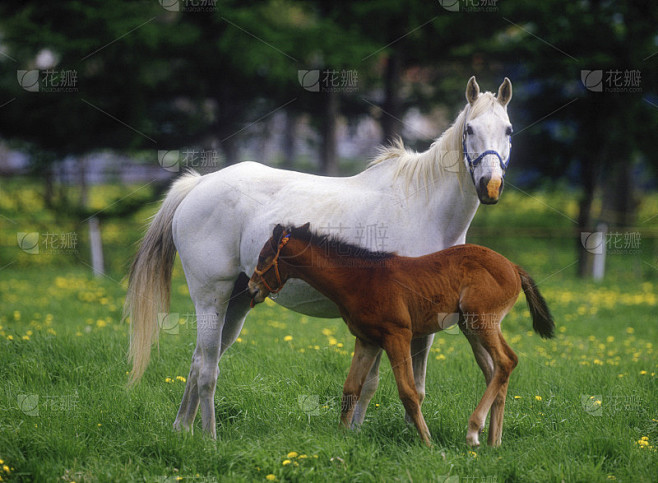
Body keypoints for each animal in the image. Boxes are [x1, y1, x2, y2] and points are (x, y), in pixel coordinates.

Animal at [124, 76, 514, 438]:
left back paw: (182, 428)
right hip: (211, 298)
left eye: (508, 130)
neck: (423, 208)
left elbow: (409, 385)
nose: (491, 186)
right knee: (207, 369)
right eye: (469, 129)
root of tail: (198, 184)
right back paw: (210, 437)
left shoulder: (420, 322)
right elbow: (373, 383)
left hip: (236, 301)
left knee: (198, 361)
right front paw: (360, 433)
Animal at [248, 224, 555, 447]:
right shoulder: (367, 340)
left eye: (263, 257)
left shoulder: (398, 336)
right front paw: (342, 437)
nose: (252, 289)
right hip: (471, 327)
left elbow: (408, 392)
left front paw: (428, 443)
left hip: (483, 320)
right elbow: (351, 389)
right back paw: (492, 442)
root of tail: (513, 267)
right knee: (494, 373)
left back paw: (473, 431)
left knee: (507, 361)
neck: (360, 280)